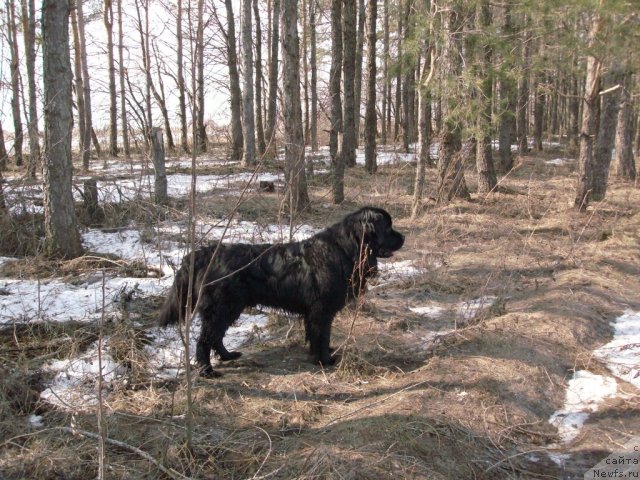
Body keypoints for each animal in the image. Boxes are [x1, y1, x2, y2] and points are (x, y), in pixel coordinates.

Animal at [158, 208, 402, 376]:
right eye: (388, 228)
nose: (404, 237)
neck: (345, 248)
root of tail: (202, 254)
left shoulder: (317, 312)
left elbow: (319, 335)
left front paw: (321, 354)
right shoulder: (321, 310)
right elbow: (321, 335)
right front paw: (324, 359)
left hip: (230, 308)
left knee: (215, 337)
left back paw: (228, 356)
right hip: (221, 307)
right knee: (204, 340)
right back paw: (207, 371)